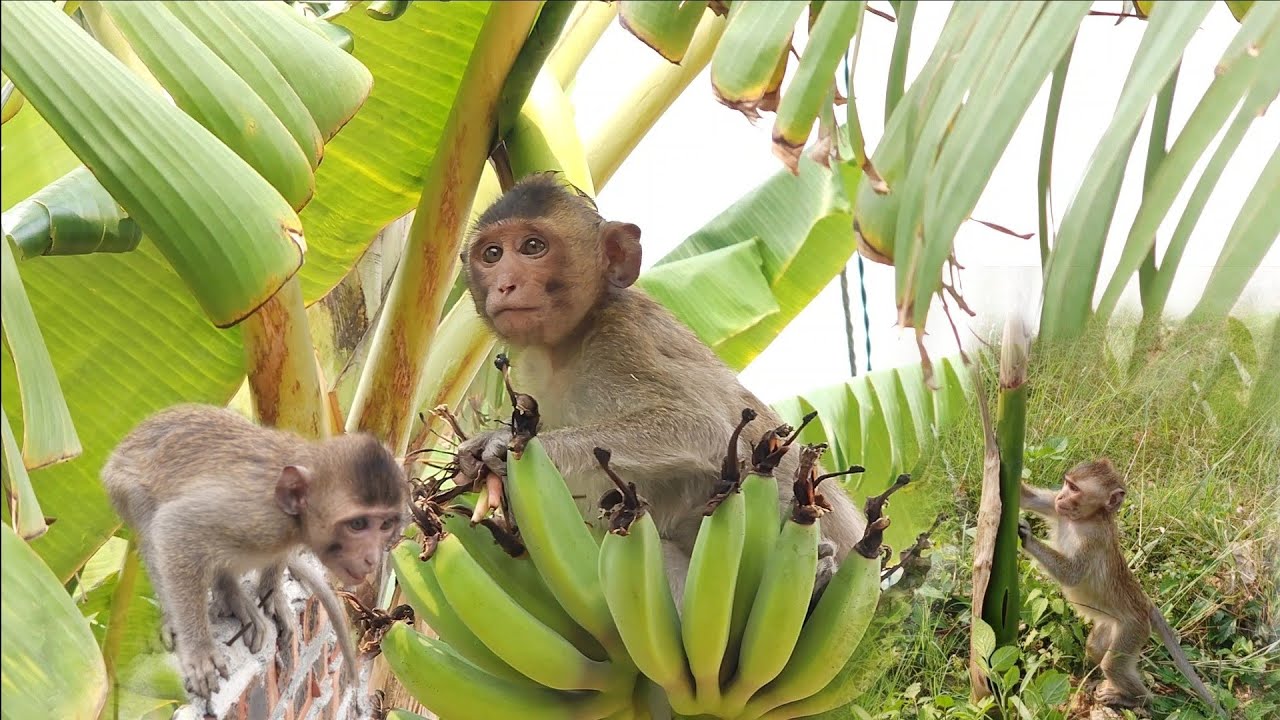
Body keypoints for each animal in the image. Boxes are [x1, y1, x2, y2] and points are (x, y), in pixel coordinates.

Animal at [101, 404, 407, 703]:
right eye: (358, 524)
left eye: (386, 524)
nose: (372, 557)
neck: (295, 514)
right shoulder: (257, 516)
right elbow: (174, 527)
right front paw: (199, 651)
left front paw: (272, 594)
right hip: (122, 486)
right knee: (152, 520)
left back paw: (231, 592)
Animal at [454, 172, 866, 602]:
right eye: (492, 254)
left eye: (533, 247)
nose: (505, 284)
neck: (566, 345)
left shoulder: (621, 342)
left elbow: (699, 426)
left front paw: (503, 443)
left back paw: (819, 577)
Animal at [1018, 458, 1225, 716]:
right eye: (1067, 484)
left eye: (1074, 489)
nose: (1061, 497)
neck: (1086, 519)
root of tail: (1145, 604)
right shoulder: (1058, 510)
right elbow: (1026, 498)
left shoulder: (1094, 539)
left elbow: (1072, 575)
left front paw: (1027, 538)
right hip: (1112, 623)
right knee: (1096, 648)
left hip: (1134, 629)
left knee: (1113, 665)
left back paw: (1138, 699)